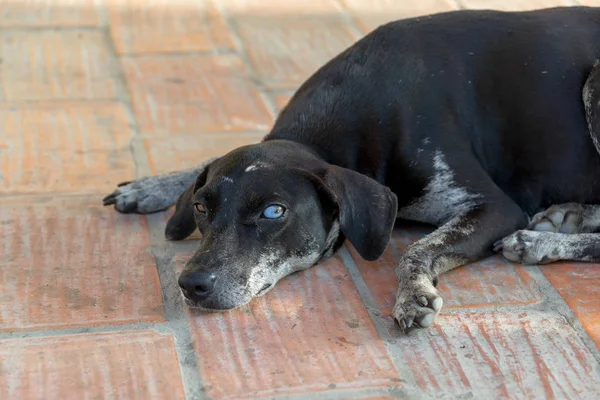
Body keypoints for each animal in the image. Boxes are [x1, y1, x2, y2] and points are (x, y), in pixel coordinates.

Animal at [103, 7, 600, 332]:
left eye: (273, 212)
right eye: (203, 208)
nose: (191, 284)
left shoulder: (497, 207)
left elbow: (416, 248)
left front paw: (412, 294)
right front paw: (151, 184)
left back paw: (542, 240)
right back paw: (569, 215)